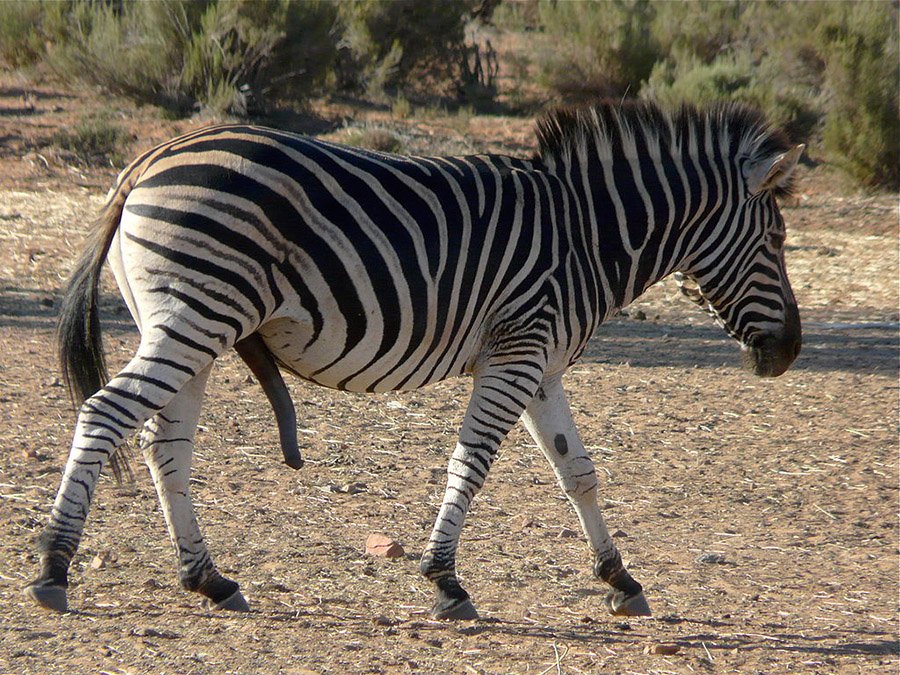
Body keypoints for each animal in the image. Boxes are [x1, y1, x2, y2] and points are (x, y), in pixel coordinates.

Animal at [26, 100, 802, 620]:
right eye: (776, 241)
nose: (789, 353)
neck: (588, 233)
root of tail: (146, 162)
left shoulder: (542, 363)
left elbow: (577, 472)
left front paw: (619, 578)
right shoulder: (517, 353)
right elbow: (473, 463)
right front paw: (446, 580)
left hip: (190, 327)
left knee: (166, 445)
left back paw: (208, 578)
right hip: (196, 316)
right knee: (104, 413)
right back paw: (54, 570)